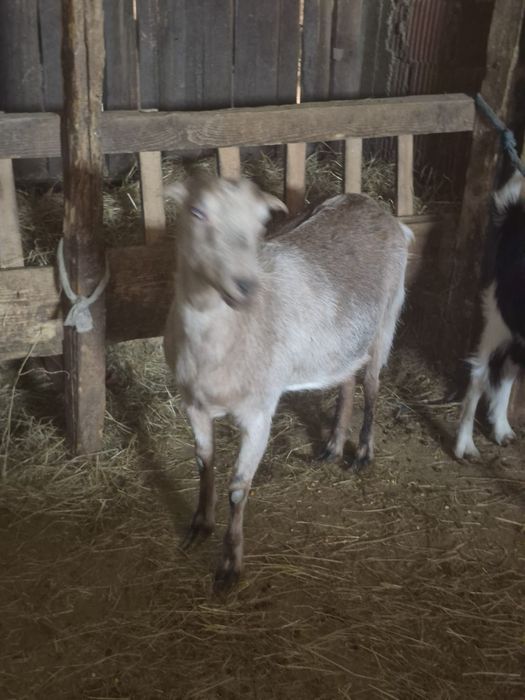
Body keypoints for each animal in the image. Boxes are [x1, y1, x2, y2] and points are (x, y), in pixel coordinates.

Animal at [164, 174, 413, 586]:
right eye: (197, 212)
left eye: (261, 223)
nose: (245, 286)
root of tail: (374, 205)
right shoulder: (192, 404)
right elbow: (204, 463)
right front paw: (199, 527)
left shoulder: (260, 413)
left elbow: (238, 488)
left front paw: (229, 564)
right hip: (342, 341)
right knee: (346, 380)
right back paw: (332, 446)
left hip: (387, 317)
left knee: (373, 386)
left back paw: (362, 452)